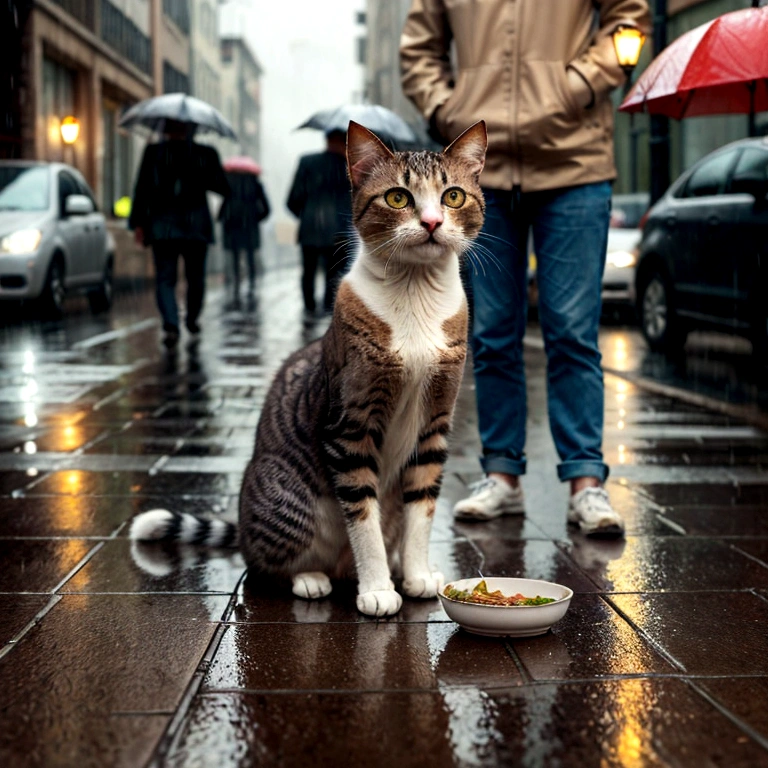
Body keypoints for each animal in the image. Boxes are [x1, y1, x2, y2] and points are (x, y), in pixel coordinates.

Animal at [126, 118, 486, 616]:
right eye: (398, 198)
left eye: (453, 196)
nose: (432, 222)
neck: (413, 294)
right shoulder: (350, 426)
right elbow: (363, 517)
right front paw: (377, 589)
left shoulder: (434, 423)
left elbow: (423, 509)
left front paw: (416, 575)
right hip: (286, 501)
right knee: (267, 565)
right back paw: (312, 578)